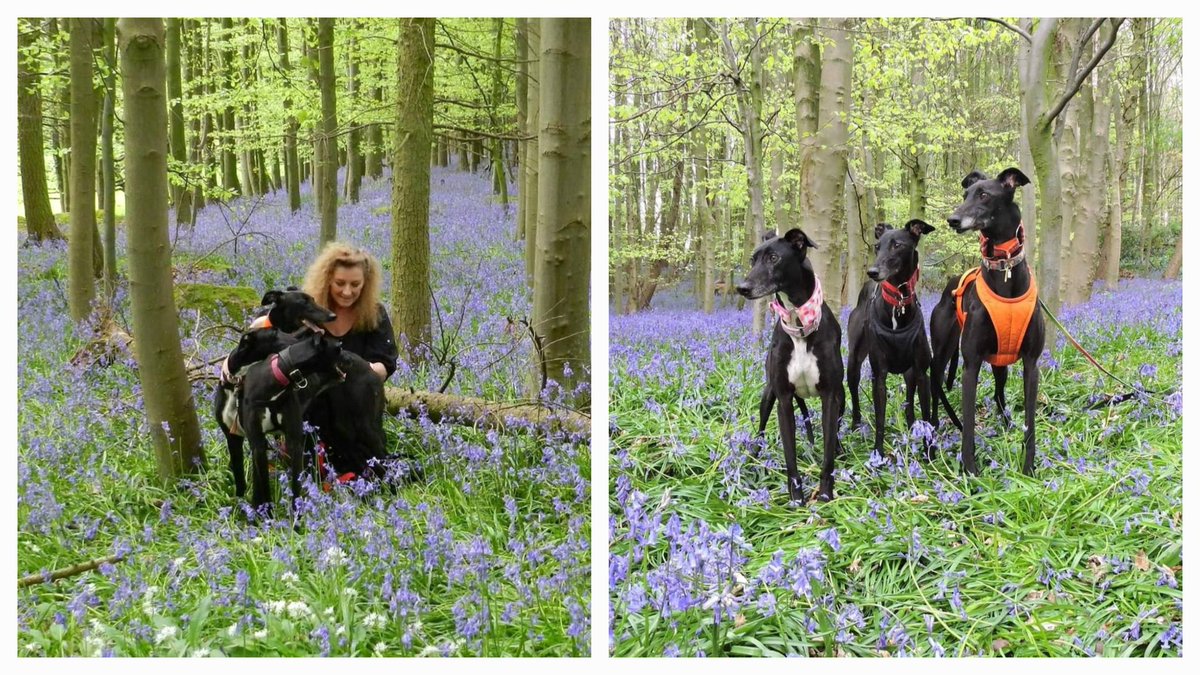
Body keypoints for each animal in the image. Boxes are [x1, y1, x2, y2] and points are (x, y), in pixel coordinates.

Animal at [734, 228, 849, 502]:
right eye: (753, 259)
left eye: (774, 258)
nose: (742, 288)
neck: (799, 322)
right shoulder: (784, 399)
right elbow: (790, 456)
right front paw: (796, 499)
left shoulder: (830, 396)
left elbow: (828, 453)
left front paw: (825, 494)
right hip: (767, 395)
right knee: (761, 429)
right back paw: (754, 456)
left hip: (842, 397)